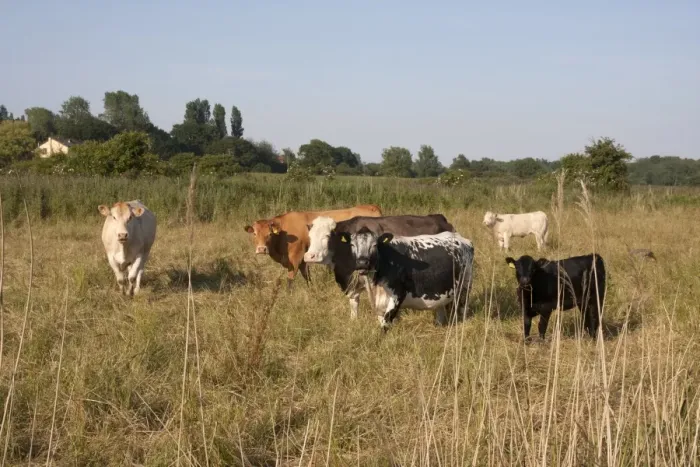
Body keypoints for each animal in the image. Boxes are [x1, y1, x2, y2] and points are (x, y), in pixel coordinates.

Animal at [243, 204, 382, 289]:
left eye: (270, 234)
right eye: (255, 234)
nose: (261, 249)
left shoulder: (295, 258)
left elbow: (290, 279)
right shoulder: (303, 260)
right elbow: (307, 277)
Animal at [340, 229, 474, 330]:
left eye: (374, 245)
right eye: (352, 245)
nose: (362, 263)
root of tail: (463, 239)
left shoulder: (398, 295)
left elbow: (385, 324)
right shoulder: (379, 304)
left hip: (466, 285)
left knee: (463, 307)